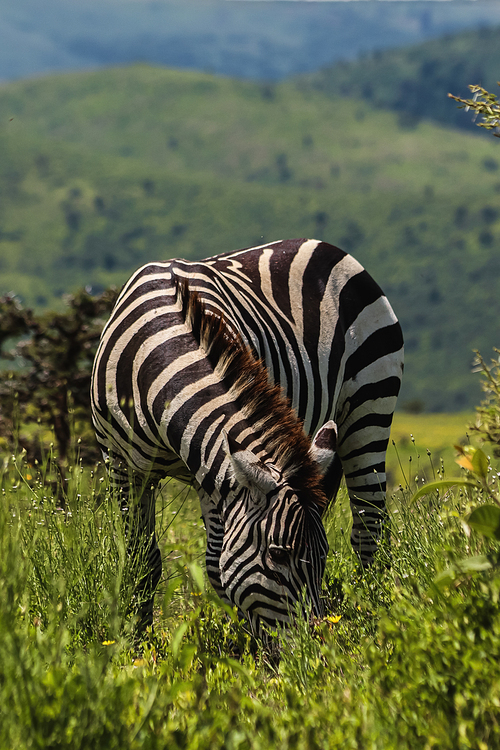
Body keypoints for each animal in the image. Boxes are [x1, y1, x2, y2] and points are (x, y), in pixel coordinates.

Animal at [91, 238, 402, 636]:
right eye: (277, 554)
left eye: (323, 555)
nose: (310, 641)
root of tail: (321, 245)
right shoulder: (123, 468)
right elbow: (142, 560)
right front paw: (136, 641)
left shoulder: (210, 472)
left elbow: (216, 563)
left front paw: (247, 644)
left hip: (371, 404)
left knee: (369, 527)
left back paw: (374, 614)